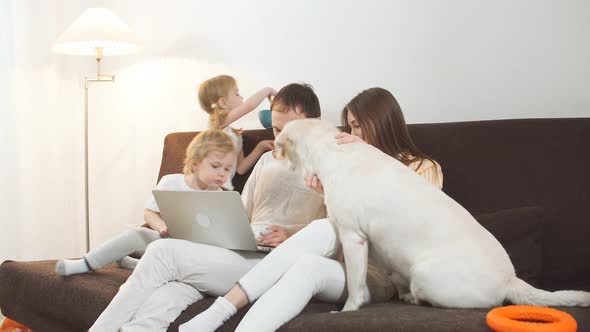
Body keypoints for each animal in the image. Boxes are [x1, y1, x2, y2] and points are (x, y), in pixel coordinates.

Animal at [276, 119, 590, 312]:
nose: (274, 152)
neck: (330, 150)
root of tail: (511, 279)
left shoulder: (353, 237)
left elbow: (355, 284)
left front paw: (347, 310)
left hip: (424, 274)